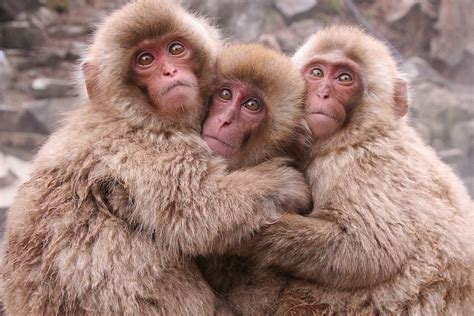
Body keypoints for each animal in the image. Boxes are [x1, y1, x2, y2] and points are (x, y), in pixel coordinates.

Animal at [0, 1, 312, 314]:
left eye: (175, 49)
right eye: (146, 59)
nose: (170, 72)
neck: (134, 112)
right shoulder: (148, 145)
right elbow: (200, 209)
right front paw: (284, 182)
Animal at [210, 25, 474, 314]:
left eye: (344, 78)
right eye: (317, 73)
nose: (323, 93)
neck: (354, 135)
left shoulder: (357, 165)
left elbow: (367, 251)